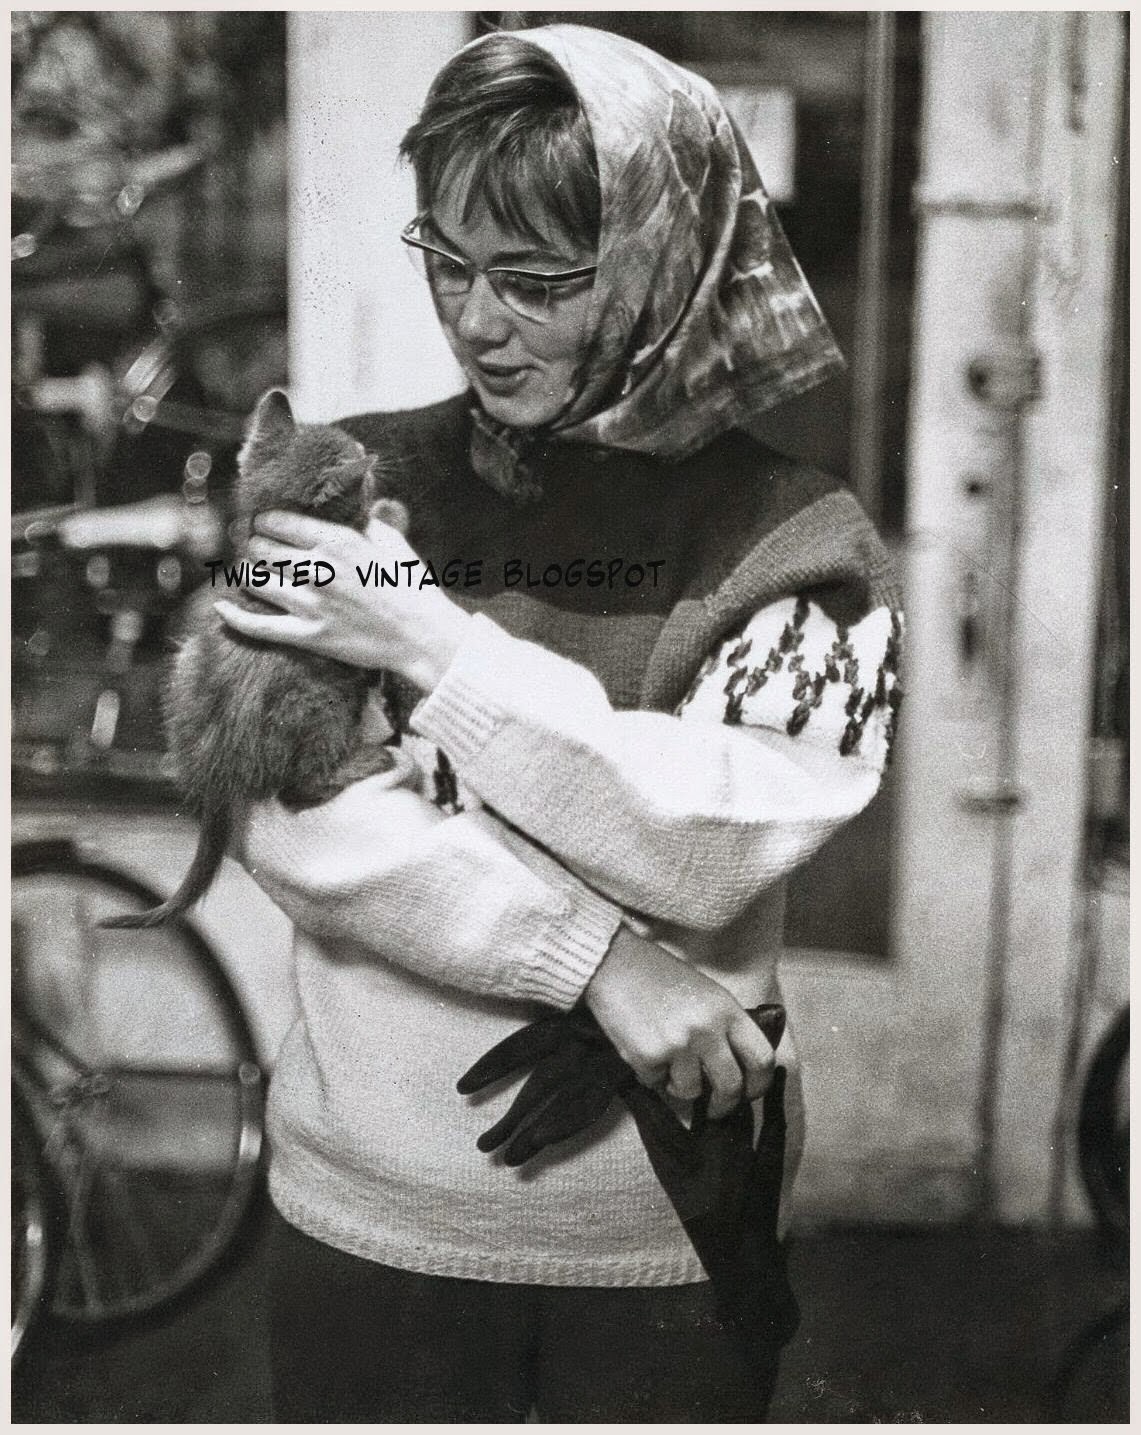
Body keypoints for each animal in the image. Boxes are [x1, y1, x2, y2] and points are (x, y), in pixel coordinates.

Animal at [106, 390, 410, 929]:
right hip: (326, 700)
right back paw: (367, 759)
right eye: (362, 463)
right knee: (301, 789)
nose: (376, 462)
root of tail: (218, 774)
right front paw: (390, 511)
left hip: (186, 659)